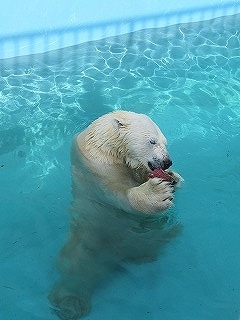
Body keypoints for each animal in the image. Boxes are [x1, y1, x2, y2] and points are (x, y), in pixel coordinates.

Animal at [48, 111, 182, 318]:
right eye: (152, 141)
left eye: (165, 142)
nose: (168, 162)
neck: (110, 150)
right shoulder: (98, 170)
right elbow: (119, 195)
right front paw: (157, 192)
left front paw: (174, 177)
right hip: (88, 236)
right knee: (76, 263)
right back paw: (71, 301)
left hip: (145, 239)